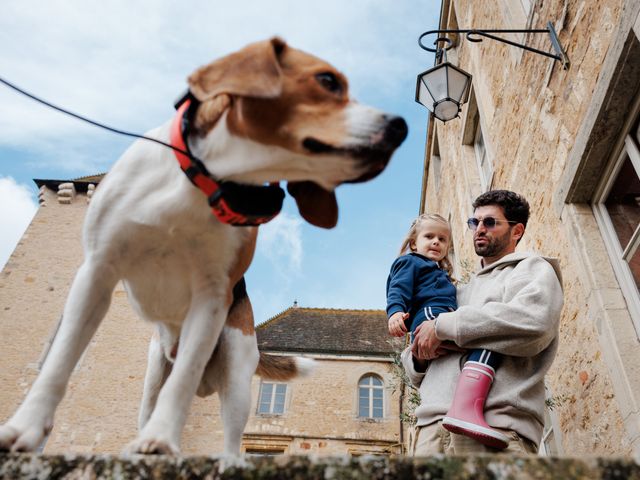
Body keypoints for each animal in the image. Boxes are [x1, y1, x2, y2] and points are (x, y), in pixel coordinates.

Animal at [0, 36, 408, 458]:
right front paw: (25, 427)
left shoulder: (211, 297)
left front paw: (162, 439)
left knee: (227, 439)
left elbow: (181, 386)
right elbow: (59, 362)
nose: (400, 126)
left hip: (237, 378)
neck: (206, 177)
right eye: (327, 81)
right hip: (153, 372)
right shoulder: (97, 273)